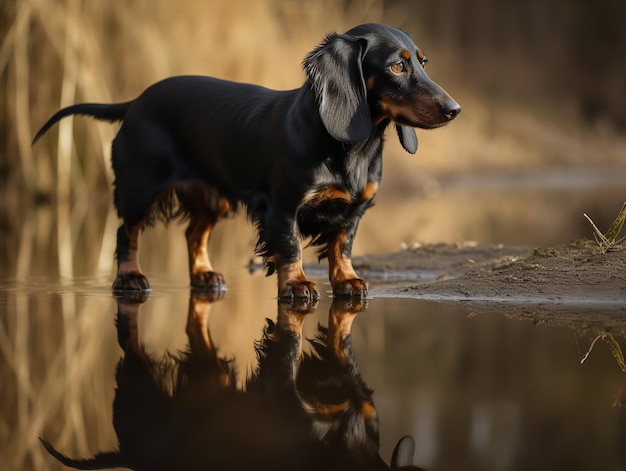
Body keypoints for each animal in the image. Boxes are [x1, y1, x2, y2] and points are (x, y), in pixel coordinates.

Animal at [34, 23, 458, 298]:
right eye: (397, 66)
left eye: (423, 63)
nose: (455, 110)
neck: (352, 148)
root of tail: (136, 102)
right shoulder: (281, 206)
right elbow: (290, 247)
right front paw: (297, 284)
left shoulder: (354, 209)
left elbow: (342, 247)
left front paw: (347, 281)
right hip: (141, 188)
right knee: (127, 233)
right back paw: (131, 279)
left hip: (213, 197)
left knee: (193, 235)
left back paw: (205, 275)